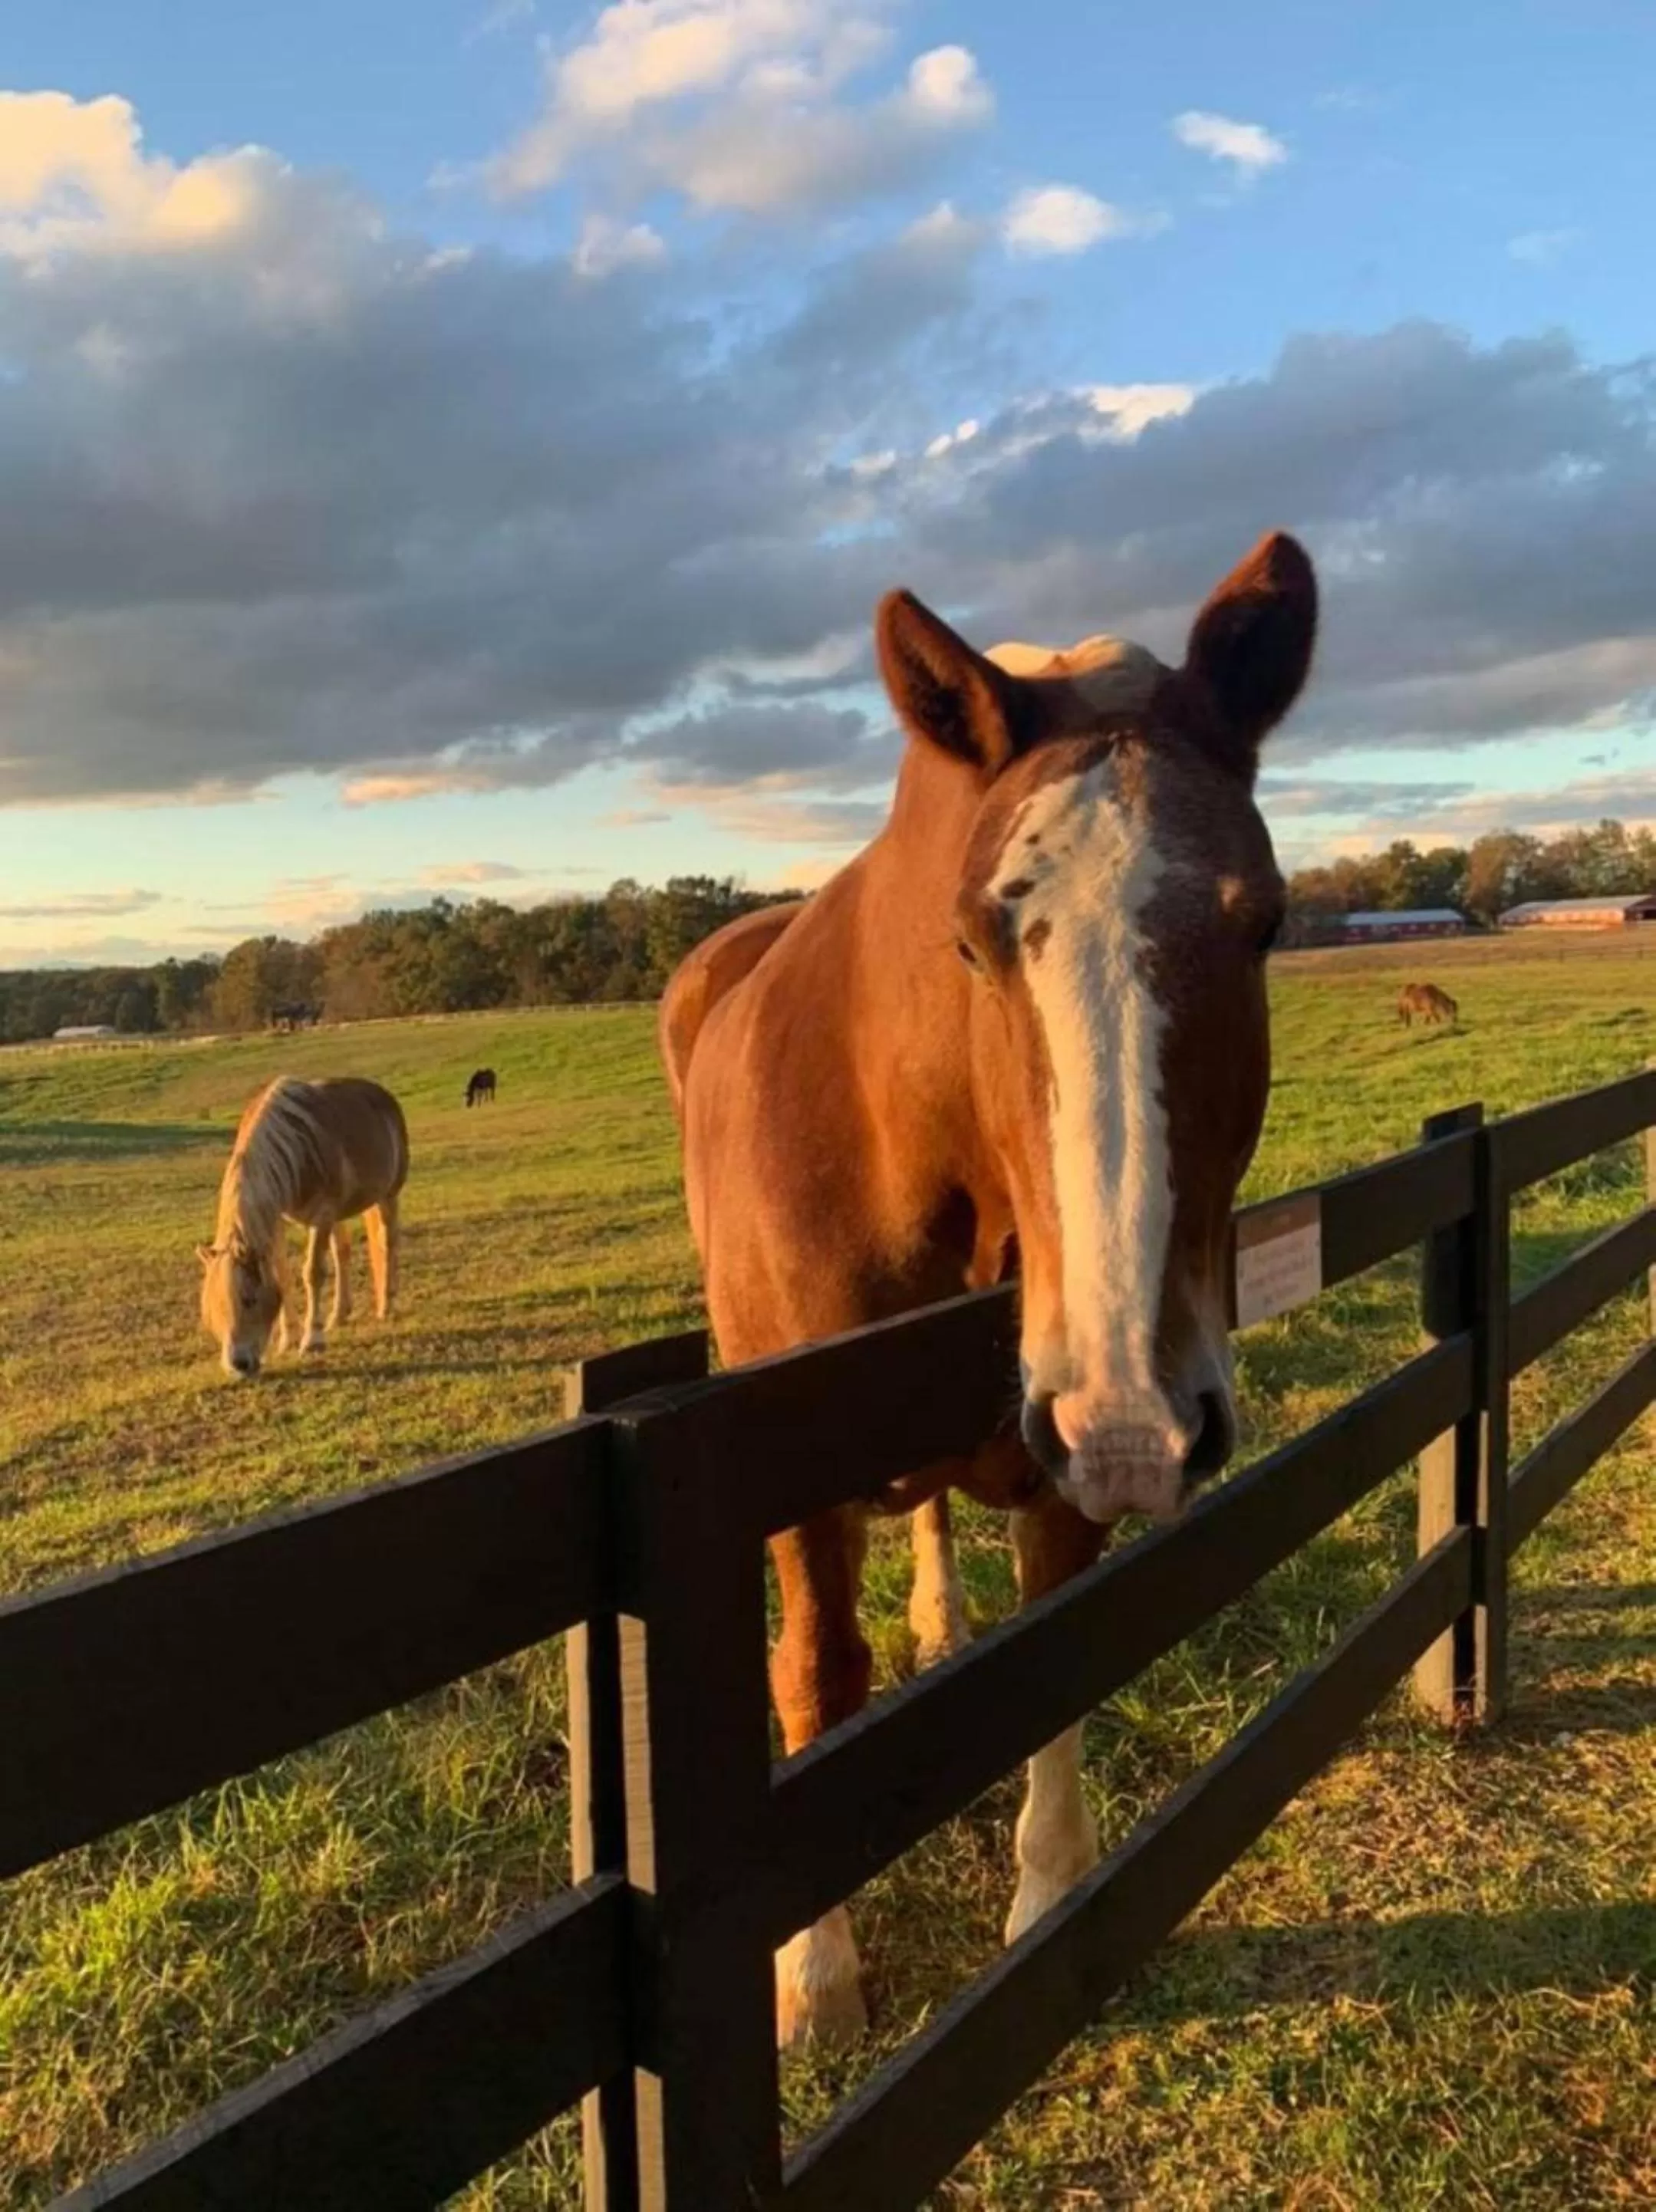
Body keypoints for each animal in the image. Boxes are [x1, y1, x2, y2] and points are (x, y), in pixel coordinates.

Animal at [197, 1075, 409, 1377]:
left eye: (249, 1300)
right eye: (211, 1307)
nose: (238, 1366)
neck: (296, 1148)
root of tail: (383, 1095)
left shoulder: (322, 1216)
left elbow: (313, 1273)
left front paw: (312, 1339)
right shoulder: (277, 1222)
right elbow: (283, 1277)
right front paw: (289, 1338)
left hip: (388, 1196)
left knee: (388, 1242)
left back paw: (386, 1305)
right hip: (341, 1214)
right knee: (342, 1252)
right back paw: (339, 1315)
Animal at [661, 530, 1317, 2046]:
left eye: (1262, 925)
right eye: (969, 940)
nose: (1134, 1414)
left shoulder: (1055, 1447)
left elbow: (1045, 1655)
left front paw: (1046, 1897)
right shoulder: (779, 1479)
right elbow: (814, 1674)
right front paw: (814, 1981)